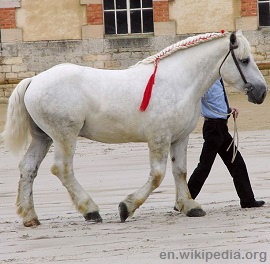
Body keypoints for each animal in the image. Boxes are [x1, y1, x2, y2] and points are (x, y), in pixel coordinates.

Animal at [0, 29, 268, 226]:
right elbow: (158, 175)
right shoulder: (159, 138)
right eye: (244, 60)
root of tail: (34, 79)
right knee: (62, 169)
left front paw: (190, 206)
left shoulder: (179, 138)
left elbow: (180, 171)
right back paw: (90, 211)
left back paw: (30, 217)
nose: (261, 92)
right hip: (65, 136)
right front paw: (125, 208)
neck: (178, 81)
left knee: (28, 168)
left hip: (43, 137)